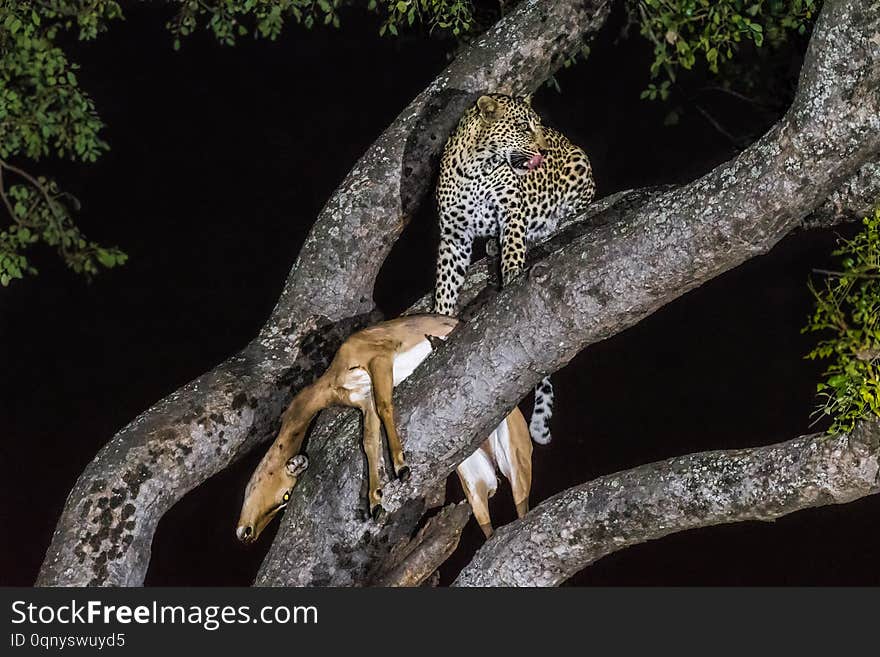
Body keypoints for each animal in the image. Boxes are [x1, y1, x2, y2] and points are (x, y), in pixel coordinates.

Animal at [434, 92, 600, 444]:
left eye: (536, 125)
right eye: (524, 127)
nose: (543, 151)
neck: (479, 166)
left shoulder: (511, 209)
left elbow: (513, 246)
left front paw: (511, 276)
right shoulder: (454, 233)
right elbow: (446, 282)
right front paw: (440, 316)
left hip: (580, 162)